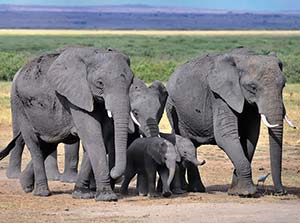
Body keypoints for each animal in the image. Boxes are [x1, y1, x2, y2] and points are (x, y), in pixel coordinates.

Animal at [0, 46, 135, 201]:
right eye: (100, 83)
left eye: (131, 83)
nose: (114, 173)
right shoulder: (75, 98)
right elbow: (93, 136)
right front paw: (107, 197)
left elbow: (101, 136)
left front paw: (82, 194)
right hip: (20, 106)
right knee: (34, 145)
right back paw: (42, 192)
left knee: (47, 145)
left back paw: (26, 185)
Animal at [166, 48, 296, 196]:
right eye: (252, 87)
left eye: (283, 85)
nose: (281, 192)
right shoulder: (219, 96)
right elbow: (225, 136)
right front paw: (247, 193)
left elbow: (250, 138)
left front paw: (236, 192)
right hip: (174, 109)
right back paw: (194, 190)